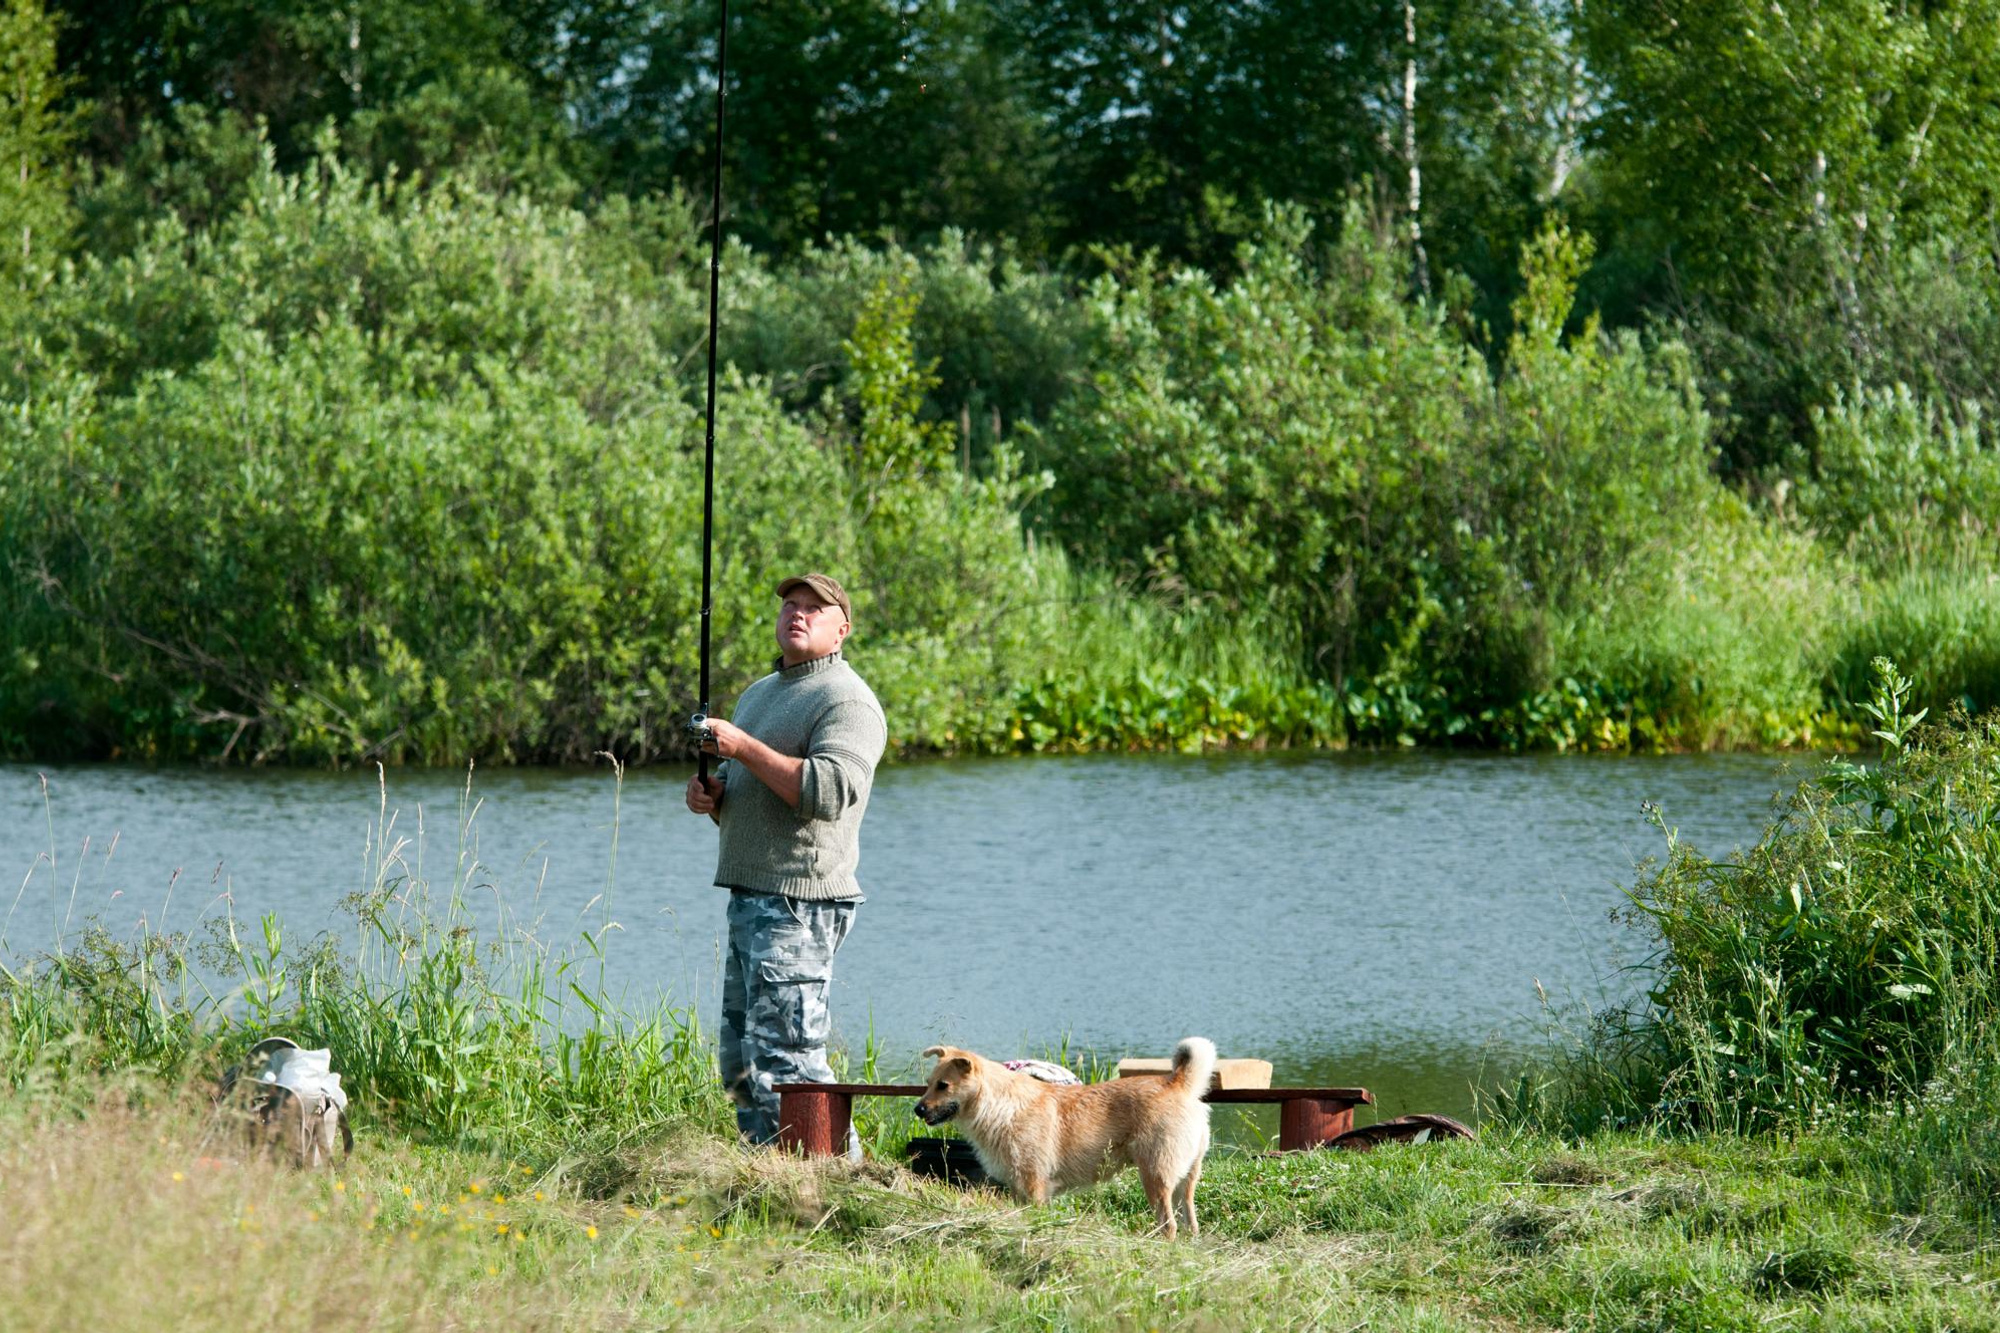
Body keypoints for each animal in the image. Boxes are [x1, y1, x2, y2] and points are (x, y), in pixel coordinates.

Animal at [916, 1040, 1208, 1232]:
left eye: (944, 1086)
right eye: (928, 1083)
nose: (917, 1109)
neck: (1000, 1105)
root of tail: (1177, 1083)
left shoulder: (1033, 1186)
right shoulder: (1018, 1188)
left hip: (1155, 1176)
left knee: (1169, 1226)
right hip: (1185, 1180)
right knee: (1190, 1222)